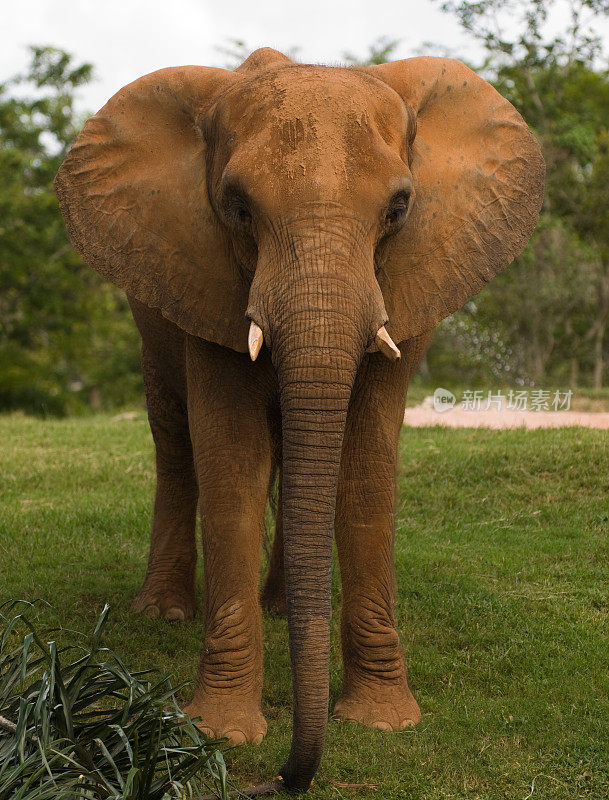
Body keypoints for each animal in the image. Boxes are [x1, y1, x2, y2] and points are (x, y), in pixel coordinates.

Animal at [54, 48, 544, 792]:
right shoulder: (205, 274)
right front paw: (220, 731)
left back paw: (284, 608)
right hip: (151, 299)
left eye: (399, 207)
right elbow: (231, 466)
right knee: (175, 440)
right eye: (236, 206)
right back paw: (164, 610)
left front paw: (383, 722)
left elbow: (365, 466)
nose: (280, 778)